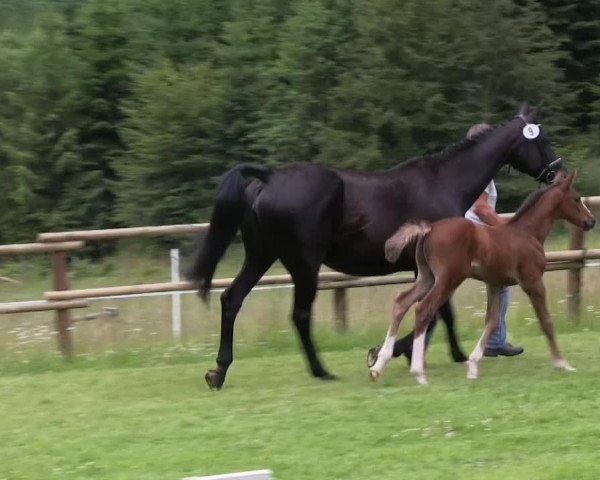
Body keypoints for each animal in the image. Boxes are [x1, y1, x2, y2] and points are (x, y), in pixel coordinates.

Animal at [191, 105, 564, 390]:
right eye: (542, 139)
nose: (557, 172)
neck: (444, 183)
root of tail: (268, 177)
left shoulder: (429, 269)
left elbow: (436, 313)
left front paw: (407, 352)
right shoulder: (437, 268)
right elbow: (438, 313)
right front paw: (403, 353)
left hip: (261, 256)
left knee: (232, 300)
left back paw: (218, 371)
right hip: (303, 264)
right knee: (299, 315)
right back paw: (321, 371)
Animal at [370, 173, 596, 386]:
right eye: (577, 199)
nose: (591, 221)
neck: (527, 234)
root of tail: (429, 229)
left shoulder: (494, 284)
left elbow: (492, 320)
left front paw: (473, 366)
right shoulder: (533, 282)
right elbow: (546, 321)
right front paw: (562, 363)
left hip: (427, 277)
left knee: (402, 302)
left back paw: (378, 365)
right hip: (449, 278)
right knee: (423, 309)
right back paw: (418, 373)